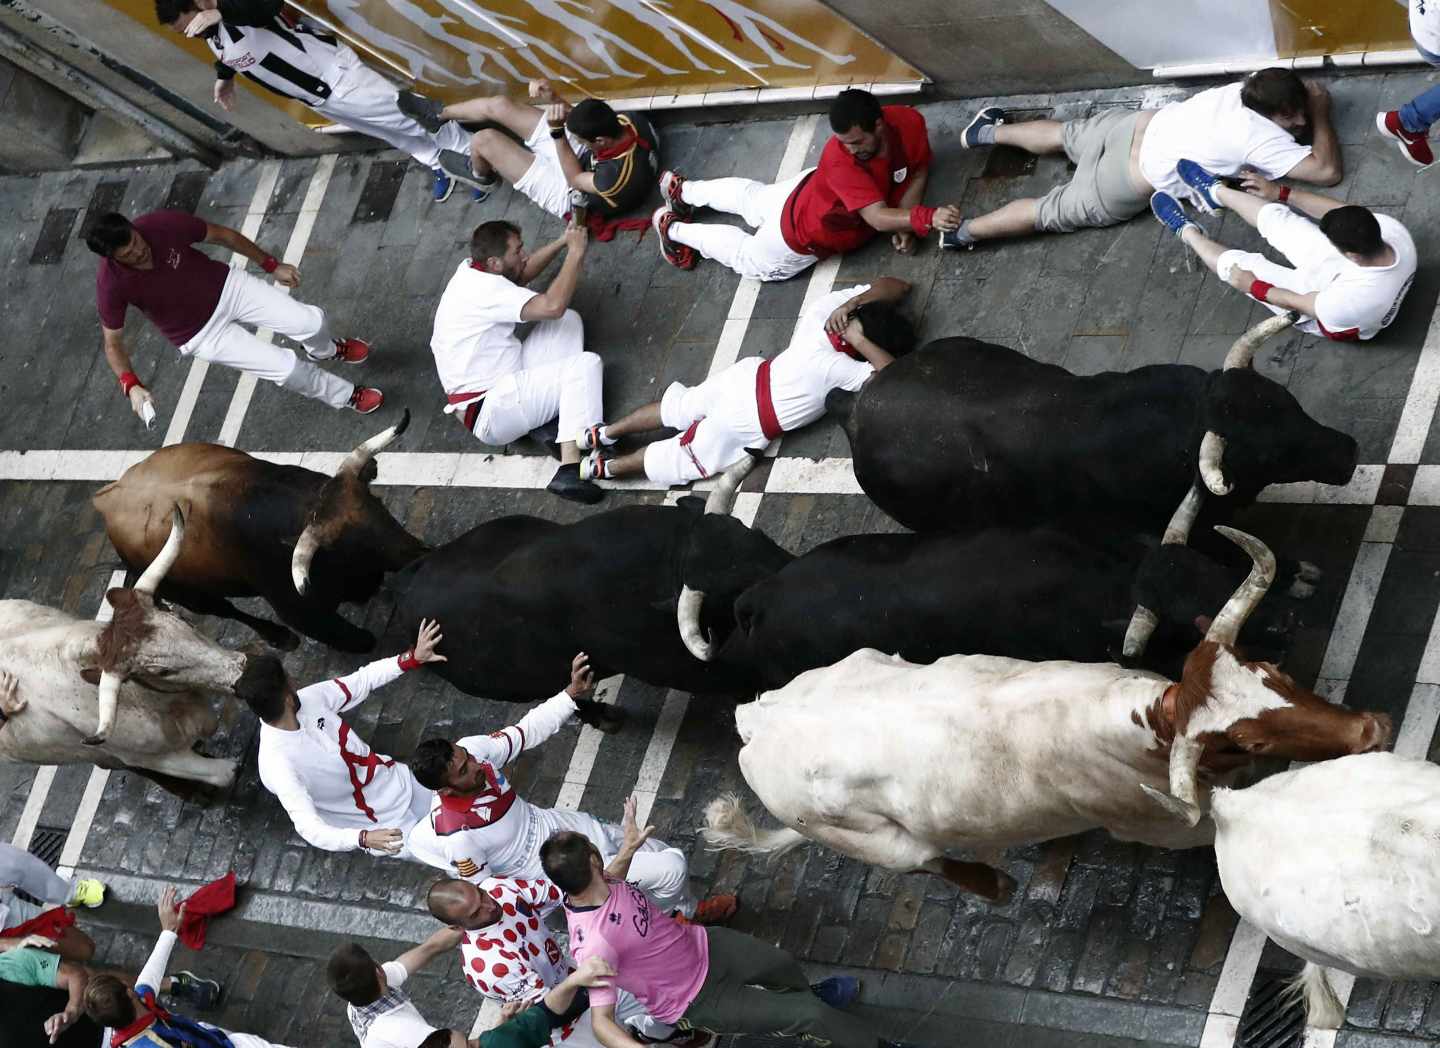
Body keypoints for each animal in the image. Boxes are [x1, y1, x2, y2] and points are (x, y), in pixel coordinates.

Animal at [92, 411, 420, 650]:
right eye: (352, 545)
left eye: (378, 503)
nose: (419, 553)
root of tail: (105, 498)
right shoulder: (302, 612)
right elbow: (353, 638)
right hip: (190, 593)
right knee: (226, 610)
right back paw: (278, 637)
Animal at [702, 532, 1388, 898]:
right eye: (1246, 742)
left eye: (1272, 674)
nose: (1371, 729)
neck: (1139, 723)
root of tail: (754, 718)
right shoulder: (1163, 828)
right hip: (875, 843)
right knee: (927, 861)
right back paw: (997, 888)